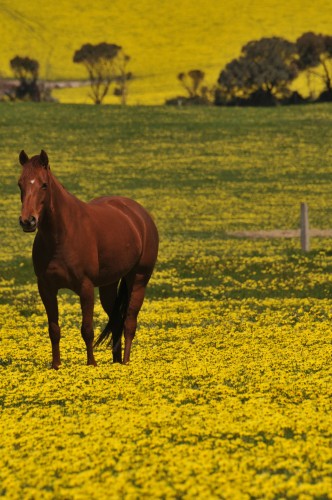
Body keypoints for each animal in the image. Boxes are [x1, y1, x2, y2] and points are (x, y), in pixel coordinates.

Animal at [17, 148, 159, 368]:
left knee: (129, 322)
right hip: (109, 285)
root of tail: (139, 215)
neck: (62, 234)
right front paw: (56, 366)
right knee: (116, 320)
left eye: (44, 184)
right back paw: (116, 362)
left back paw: (126, 362)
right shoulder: (46, 288)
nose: (28, 221)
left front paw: (91, 364)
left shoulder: (85, 287)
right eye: (20, 184)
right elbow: (54, 329)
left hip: (139, 279)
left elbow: (87, 329)